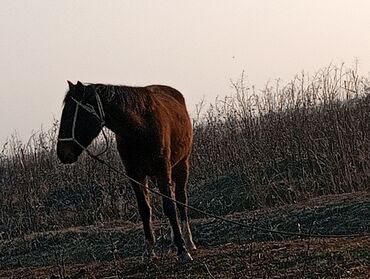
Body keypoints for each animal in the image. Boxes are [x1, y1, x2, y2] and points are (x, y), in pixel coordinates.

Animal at [57, 81, 197, 264]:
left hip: (181, 165)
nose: (62, 153)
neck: (140, 128)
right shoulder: (135, 175)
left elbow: (170, 207)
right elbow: (144, 209)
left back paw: (188, 241)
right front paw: (149, 250)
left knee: (180, 200)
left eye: (72, 114)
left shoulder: (162, 170)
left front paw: (182, 250)